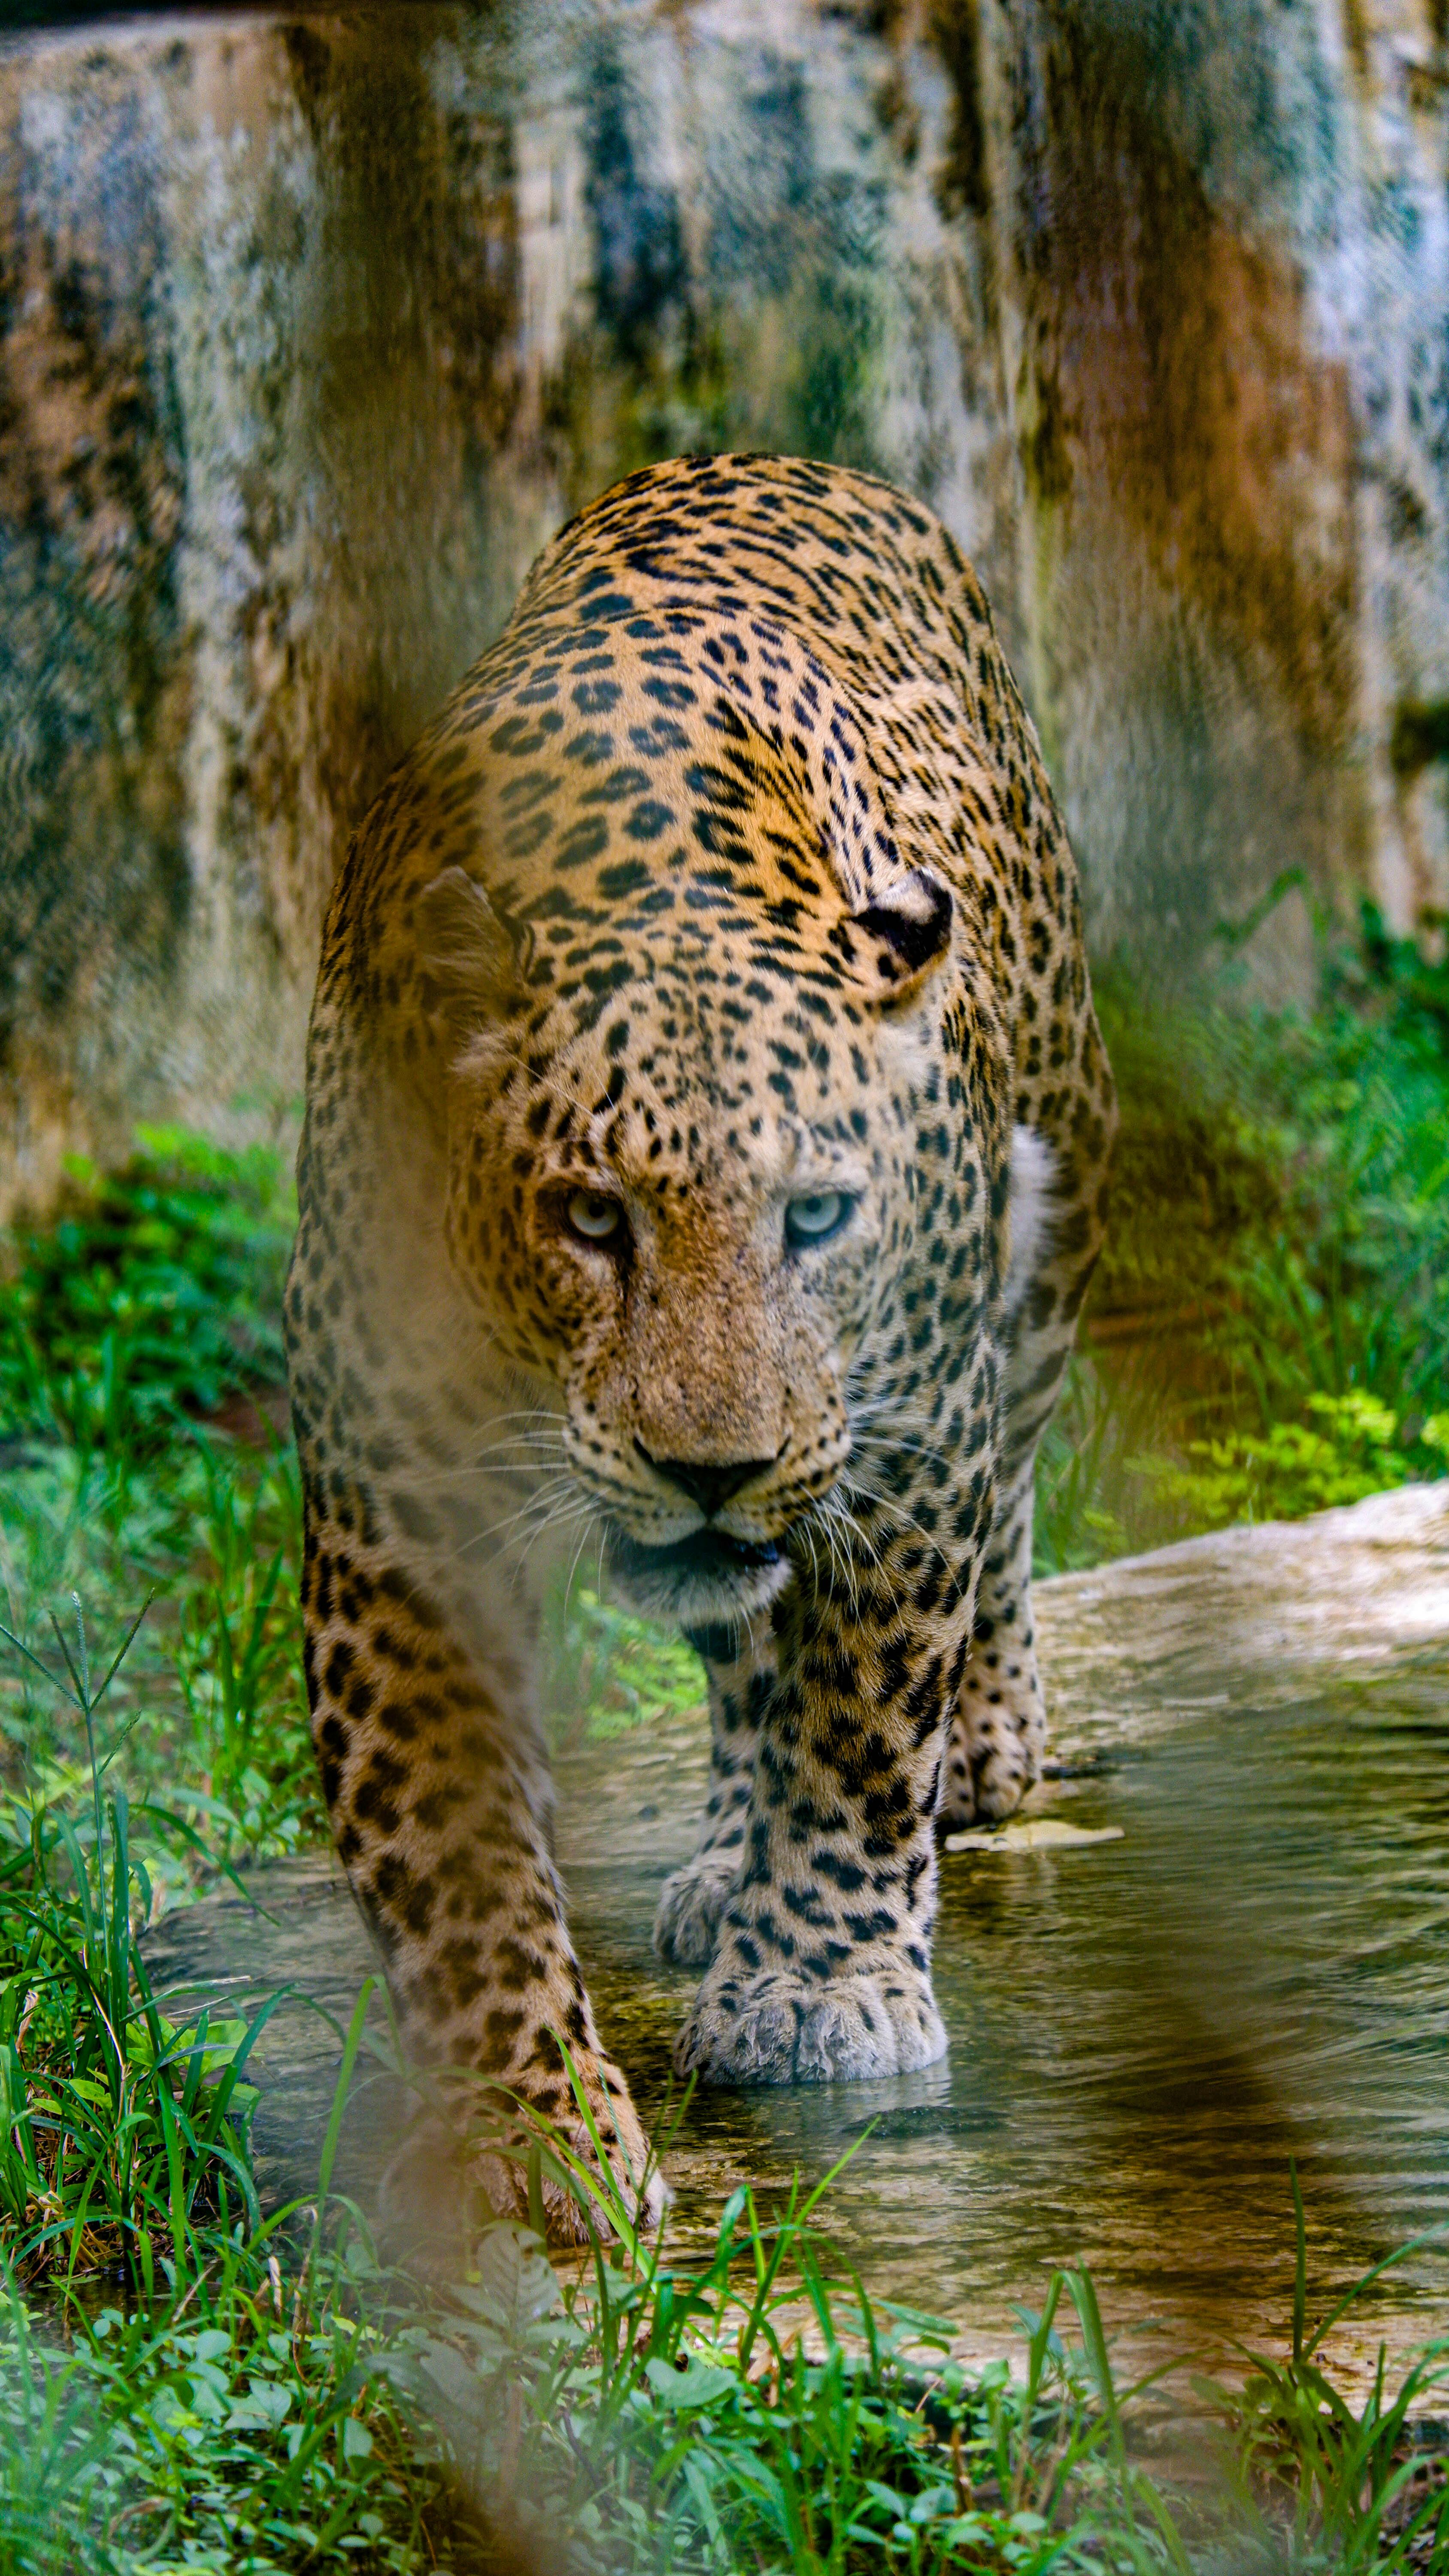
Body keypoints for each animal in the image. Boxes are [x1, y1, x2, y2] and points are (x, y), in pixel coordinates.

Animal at [285, 452, 1115, 2241]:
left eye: (814, 1215)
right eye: (591, 1216)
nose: (712, 1468)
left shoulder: (907, 1431)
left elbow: (863, 1722)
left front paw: (820, 1993)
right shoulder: (393, 1506)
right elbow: (452, 1856)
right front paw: (531, 2140)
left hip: (1055, 1199)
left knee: (999, 1494)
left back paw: (984, 1737)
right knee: (743, 1646)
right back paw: (728, 1844)